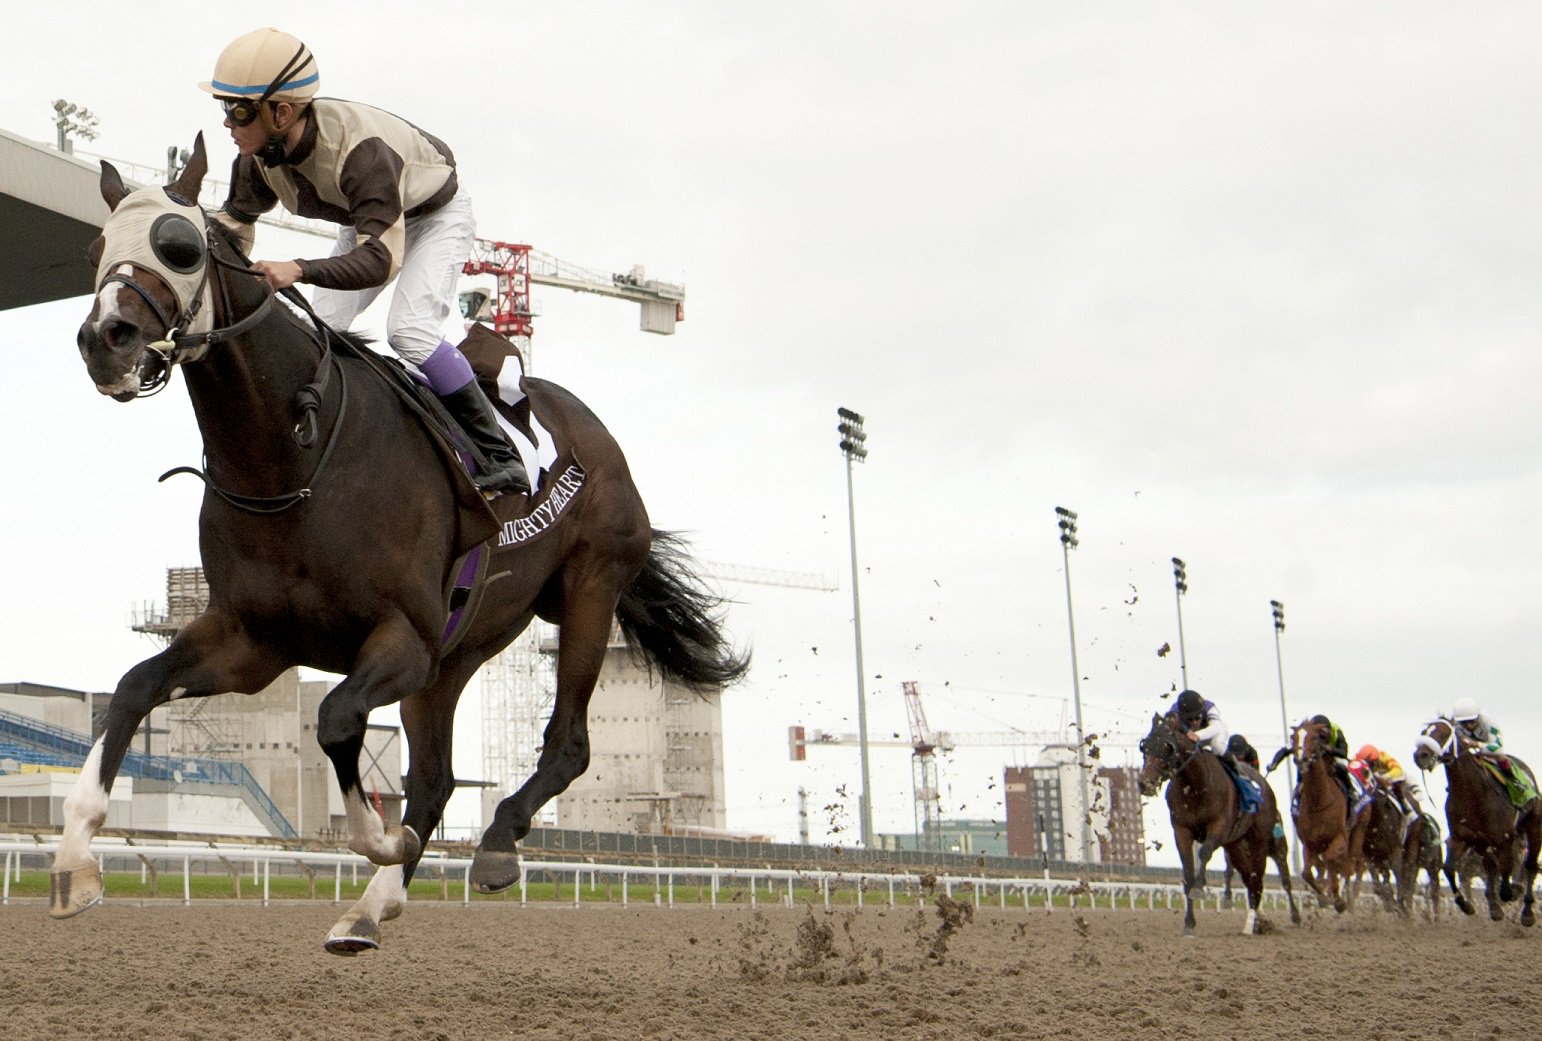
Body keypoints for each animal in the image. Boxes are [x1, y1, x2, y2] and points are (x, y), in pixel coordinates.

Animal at [56, 136, 748, 953]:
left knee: (569, 743)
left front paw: (381, 840)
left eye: (180, 246)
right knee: (438, 775)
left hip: (587, 589)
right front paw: (74, 860)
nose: (105, 340)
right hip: (455, 654)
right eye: (96, 248)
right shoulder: (253, 640)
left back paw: (494, 844)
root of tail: (587, 426)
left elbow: (334, 719)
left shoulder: (402, 636)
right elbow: (134, 686)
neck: (293, 459)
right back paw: (370, 906)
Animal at [1138, 712, 1298, 936]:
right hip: (1236, 846)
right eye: (1145, 746)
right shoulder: (1181, 830)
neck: (1196, 786)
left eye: (1168, 747)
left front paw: (1199, 888)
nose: (1145, 783)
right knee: (1249, 879)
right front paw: (1189, 923)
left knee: (1263, 879)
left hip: (1263, 841)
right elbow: (1188, 872)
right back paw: (1258, 921)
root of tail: (1264, 785)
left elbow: (1204, 853)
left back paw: (1267, 921)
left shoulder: (1218, 826)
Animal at [1286, 718, 1368, 913]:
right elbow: (1307, 873)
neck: (1319, 801)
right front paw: (1323, 896)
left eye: (1316, 738)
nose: (1302, 760)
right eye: (1294, 737)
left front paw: (1337, 899)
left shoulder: (1339, 838)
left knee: (1351, 865)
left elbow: (1333, 862)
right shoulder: (1309, 843)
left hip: (1358, 830)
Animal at [1412, 717, 1539, 925]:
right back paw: (1496, 907)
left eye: (1443, 733)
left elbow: (1506, 873)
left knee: (1530, 866)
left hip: (1533, 826)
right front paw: (1467, 905)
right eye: (1424, 732)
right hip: (1485, 844)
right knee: (1492, 868)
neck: (1472, 793)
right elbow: (1449, 869)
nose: (1420, 755)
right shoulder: (1463, 838)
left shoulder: (1503, 839)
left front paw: (1512, 893)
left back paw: (1526, 912)